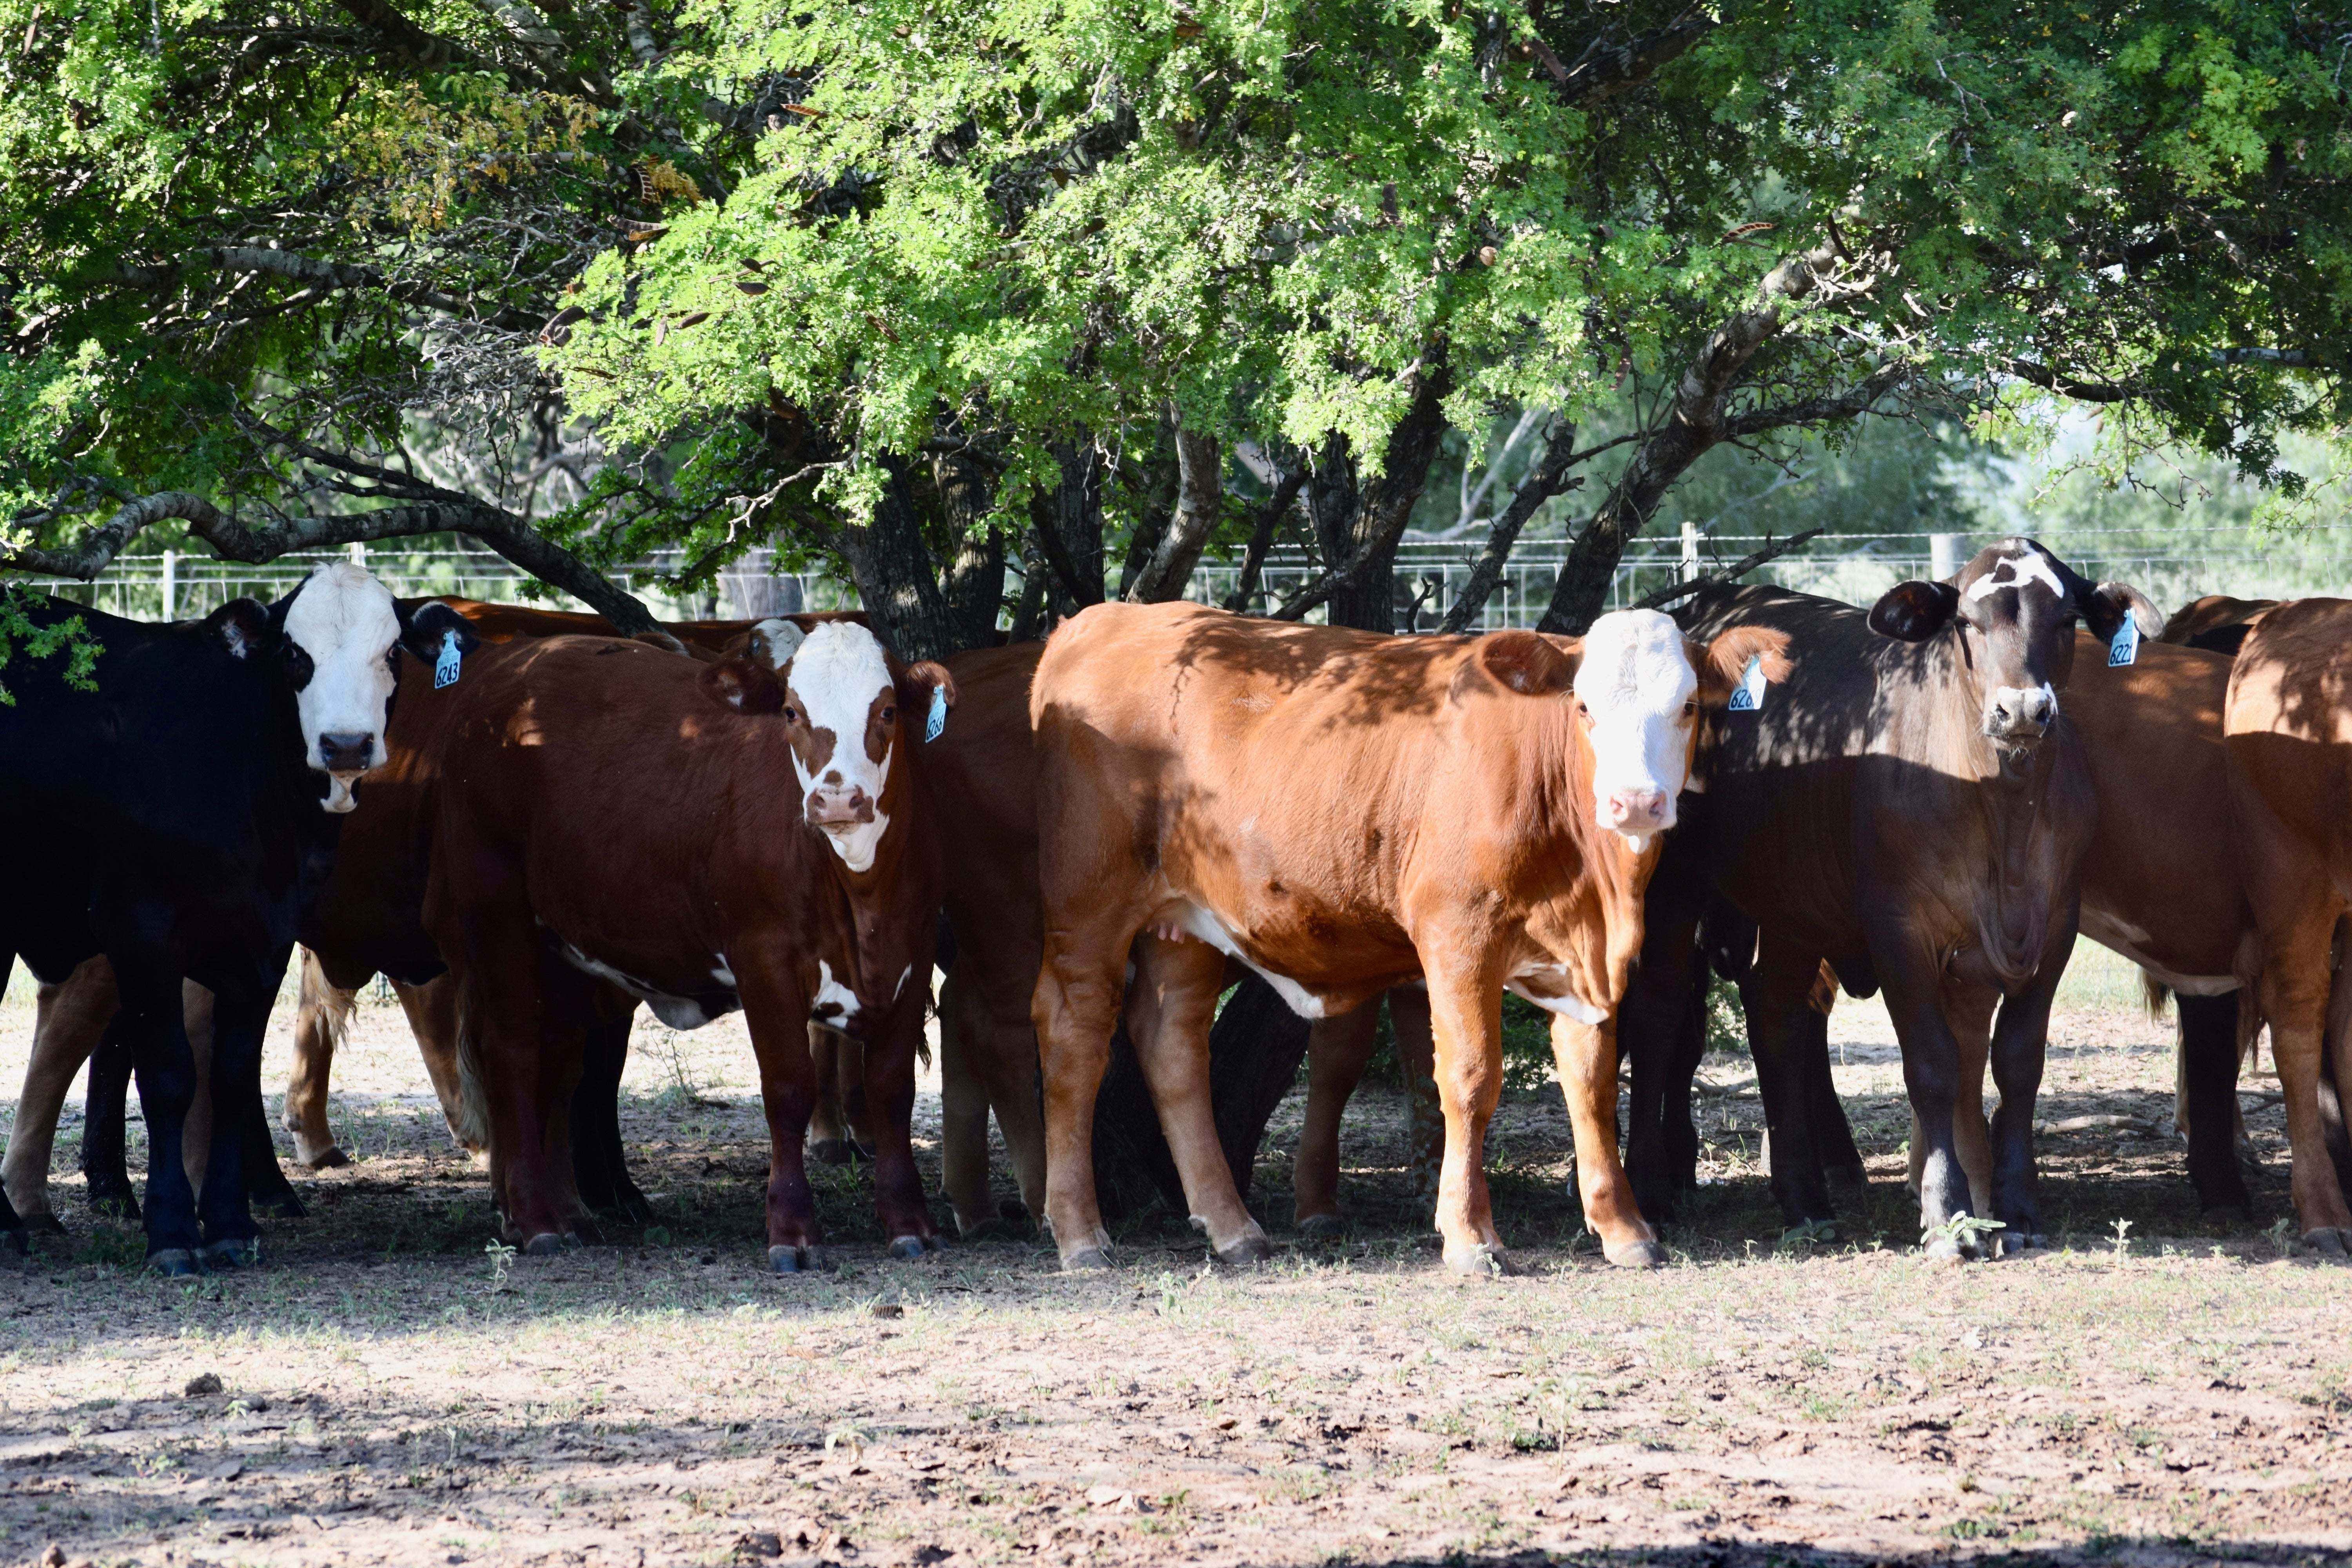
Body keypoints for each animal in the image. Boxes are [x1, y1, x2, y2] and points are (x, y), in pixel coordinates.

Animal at [1025, 602, 1778, 1279]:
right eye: (1585, 707)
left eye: (1688, 705)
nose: (1636, 802)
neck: (1593, 890)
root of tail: (1097, 621)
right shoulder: (1457, 934)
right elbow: (1470, 1078)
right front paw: (1472, 1237)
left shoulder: (1583, 961)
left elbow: (1591, 1084)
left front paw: (1624, 1229)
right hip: (1087, 906)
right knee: (1073, 1037)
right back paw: (1080, 1235)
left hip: (1185, 923)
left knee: (1172, 1045)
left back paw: (1233, 1227)